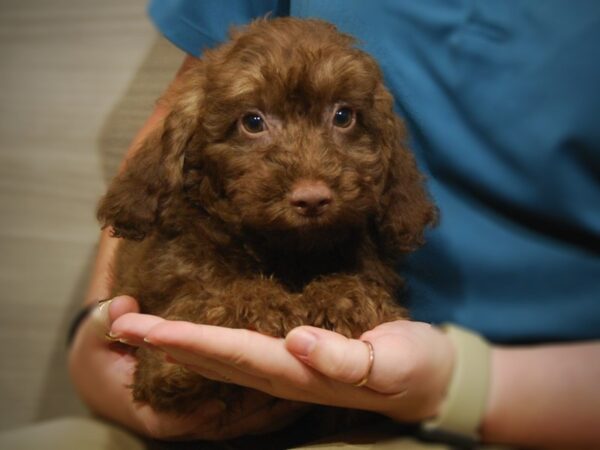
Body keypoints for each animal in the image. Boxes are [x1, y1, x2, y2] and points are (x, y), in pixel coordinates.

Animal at [98, 16, 436, 418]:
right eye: (253, 122)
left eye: (343, 116)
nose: (312, 199)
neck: (282, 248)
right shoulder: (161, 355)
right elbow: (201, 302)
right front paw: (262, 302)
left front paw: (343, 297)